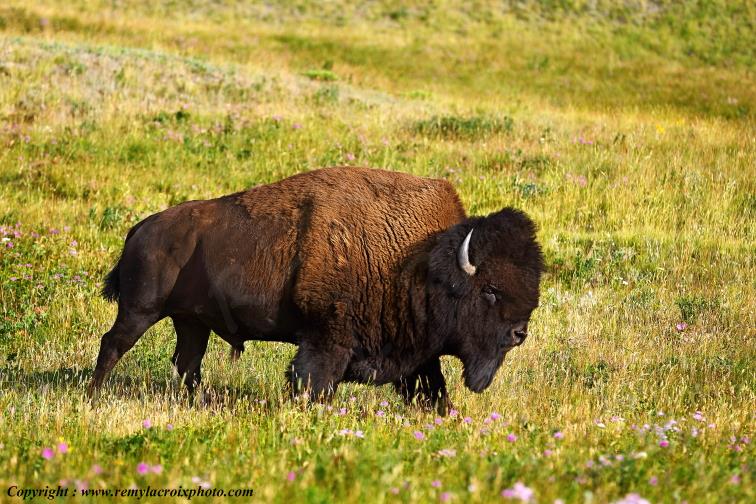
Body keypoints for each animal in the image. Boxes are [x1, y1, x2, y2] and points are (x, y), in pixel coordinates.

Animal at [89, 167, 544, 414]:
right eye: (490, 290)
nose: (519, 333)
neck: (420, 260)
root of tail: (141, 227)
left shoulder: (416, 353)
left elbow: (432, 389)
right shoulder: (327, 339)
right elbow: (313, 380)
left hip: (190, 322)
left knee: (187, 362)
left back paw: (201, 402)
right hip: (141, 309)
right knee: (113, 343)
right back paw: (93, 395)